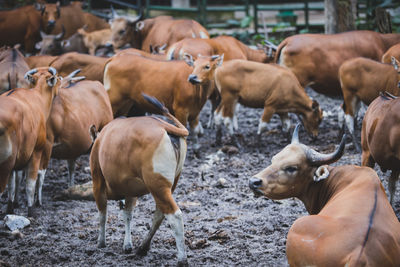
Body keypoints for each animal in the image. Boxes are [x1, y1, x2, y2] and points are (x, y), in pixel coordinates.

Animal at [90, 93, 189, 266]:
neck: (100, 140)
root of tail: (163, 126)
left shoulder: (97, 181)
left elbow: (103, 213)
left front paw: (101, 242)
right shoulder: (130, 191)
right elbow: (128, 214)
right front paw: (127, 244)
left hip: (157, 185)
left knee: (175, 215)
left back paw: (182, 258)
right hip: (169, 185)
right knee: (160, 214)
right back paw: (142, 247)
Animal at [184, 55, 322, 146]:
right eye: (318, 119)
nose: (315, 136)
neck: (290, 86)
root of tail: (219, 68)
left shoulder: (282, 110)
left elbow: (287, 125)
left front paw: (288, 140)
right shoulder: (270, 106)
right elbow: (263, 125)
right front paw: (258, 142)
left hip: (225, 98)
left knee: (218, 115)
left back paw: (218, 139)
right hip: (230, 97)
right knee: (227, 119)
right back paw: (235, 142)